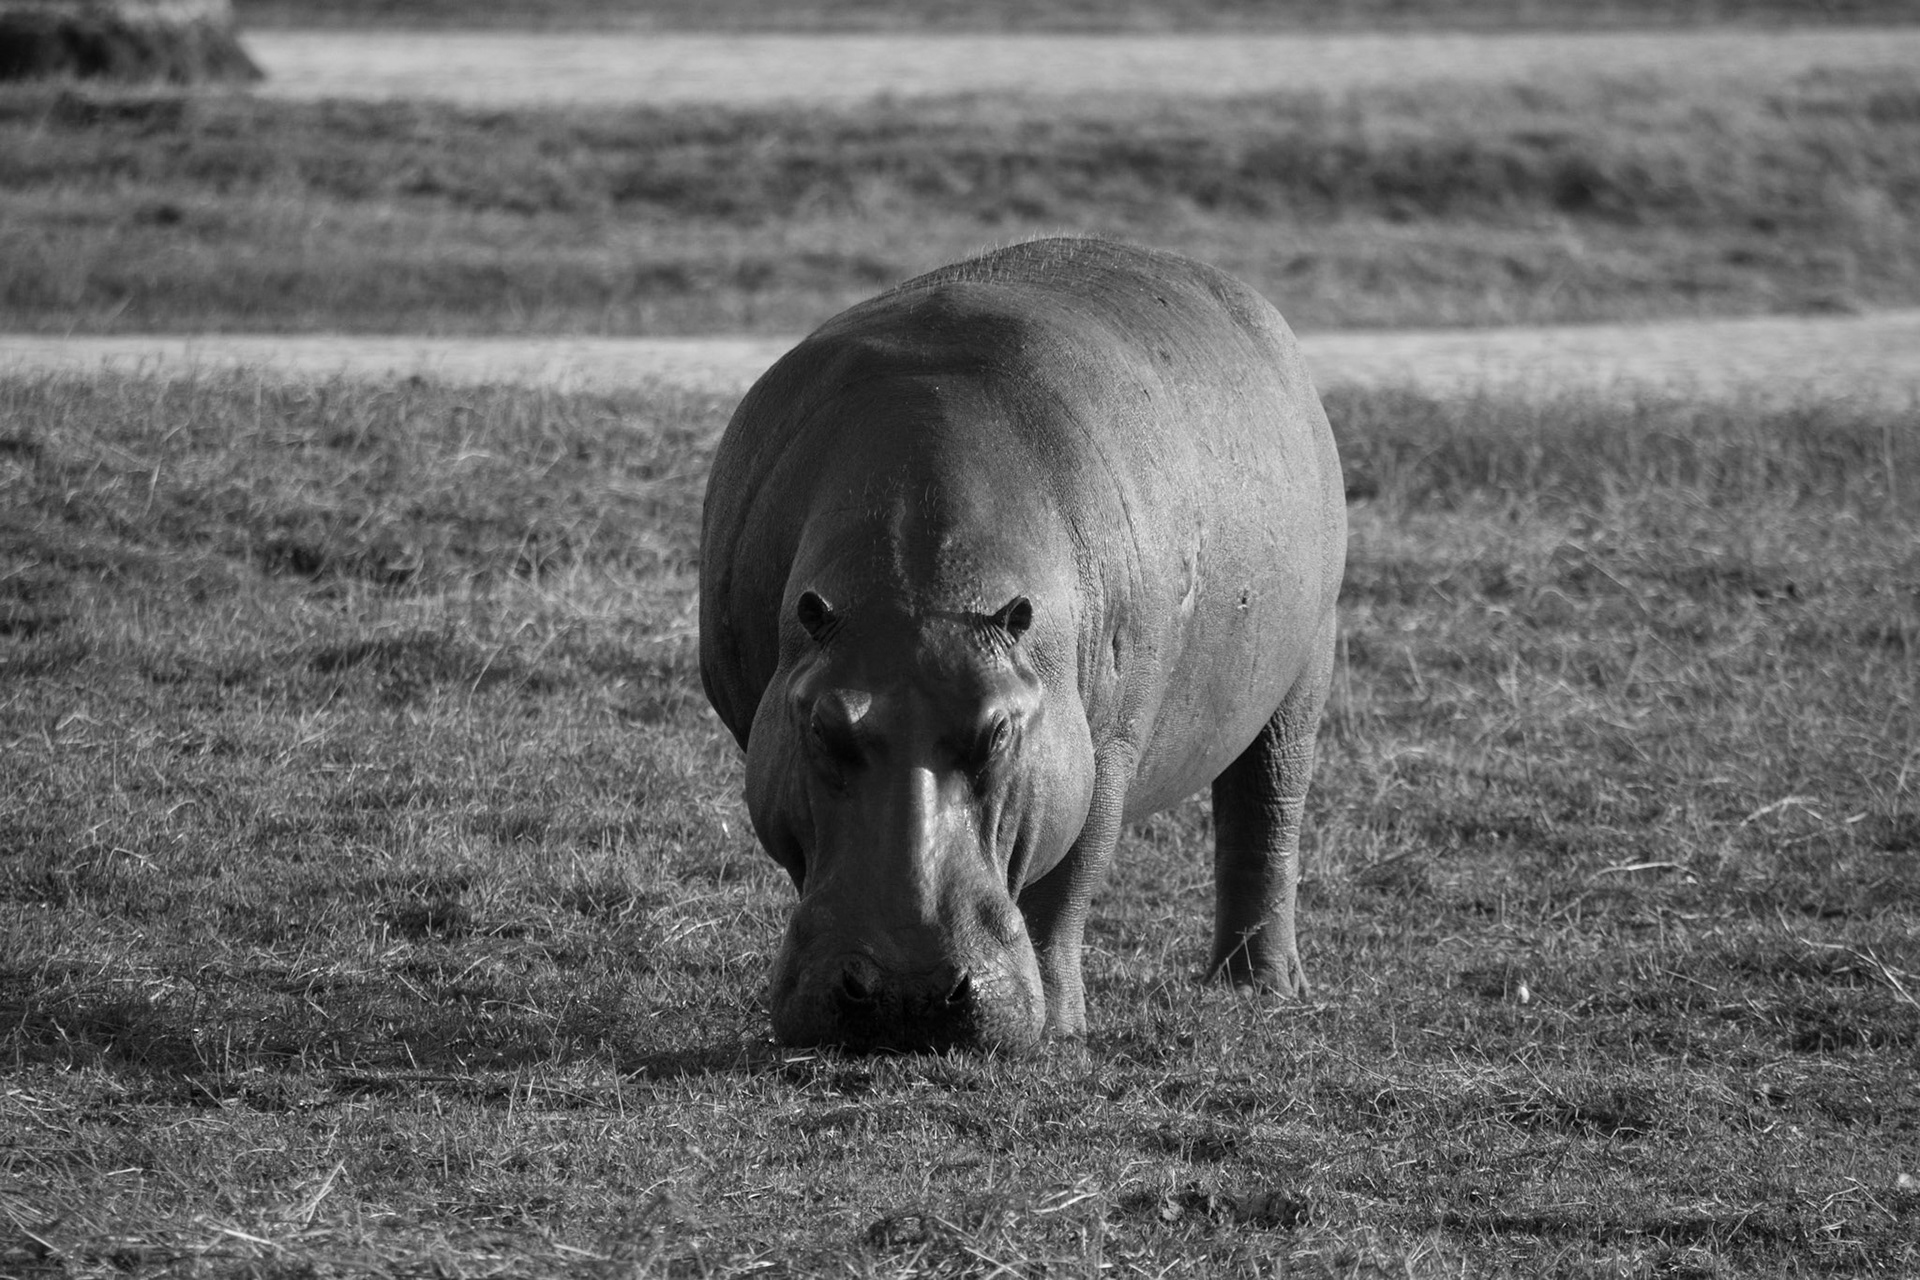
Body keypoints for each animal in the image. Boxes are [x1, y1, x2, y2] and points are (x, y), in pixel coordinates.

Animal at [699, 238, 1345, 1053]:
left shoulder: (1102, 749)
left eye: (999, 731)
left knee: (1266, 812)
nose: (905, 995)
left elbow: (1066, 884)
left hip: (1308, 662)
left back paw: (1262, 987)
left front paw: (1059, 1034)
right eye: (822, 726)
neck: (917, 593)